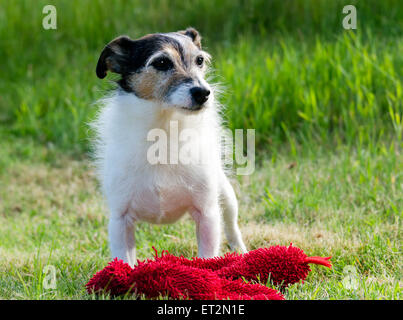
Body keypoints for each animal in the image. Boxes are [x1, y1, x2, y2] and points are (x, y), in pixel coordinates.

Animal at [92, 28, 246, 268]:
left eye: (199, 60)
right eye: (162, 62)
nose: (203, 92)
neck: (163, 132)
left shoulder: (208, 214)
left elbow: (208, 254)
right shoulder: (120, 220)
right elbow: (125, 261)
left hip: (226, 195)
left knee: (232, 224)